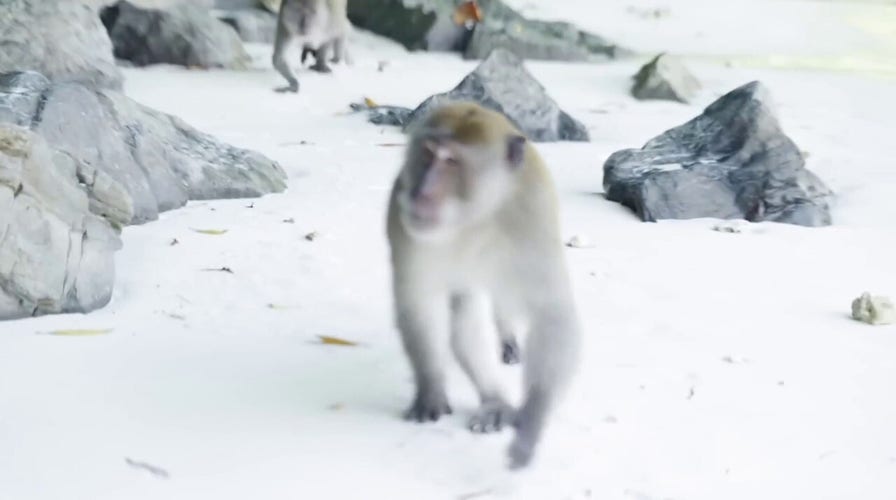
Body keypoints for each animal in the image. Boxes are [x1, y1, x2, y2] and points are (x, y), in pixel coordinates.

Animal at [386, 101, 584, 468]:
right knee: (466, 314)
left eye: (452, 161)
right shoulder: (402, 221)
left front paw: (532, 418)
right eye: (428, 152)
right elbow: (418, 304)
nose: (422, 192)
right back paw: (494, 399)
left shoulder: (533, 217)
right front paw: (430, 388)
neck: (475, 218)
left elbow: (552, 314)